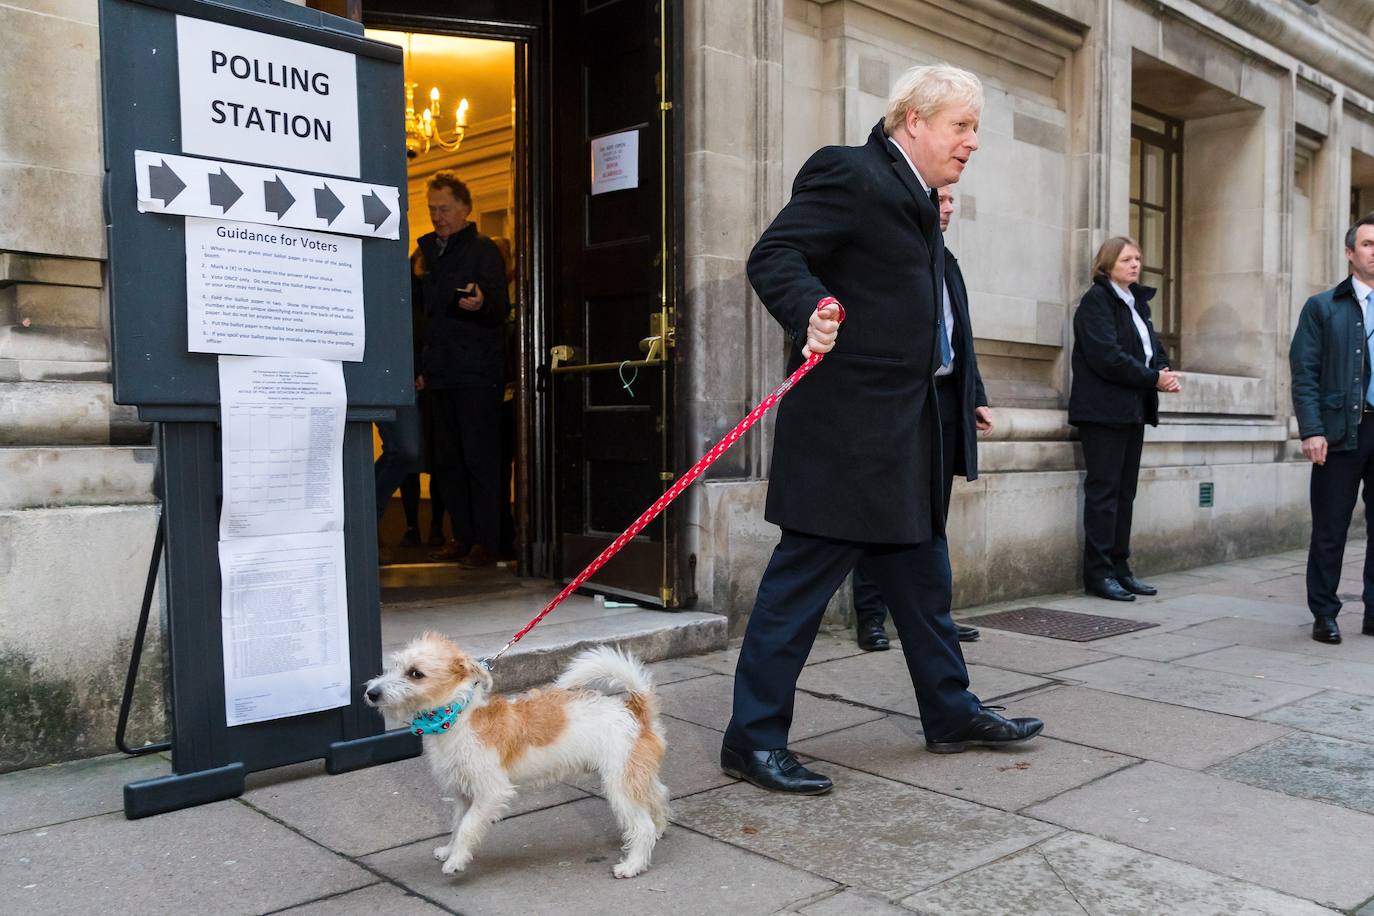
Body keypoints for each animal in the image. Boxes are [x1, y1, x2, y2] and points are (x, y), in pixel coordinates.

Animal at [362, 634, 667, 878]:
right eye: (395, 666)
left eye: (415, 673)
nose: (370, 693)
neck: (457, 718)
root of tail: (634, 709)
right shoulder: (463, 793)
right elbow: (456, 824)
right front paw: (450, 850)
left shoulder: (490, 792)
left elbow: (468, 826)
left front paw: (456, 861)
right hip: (635, 775)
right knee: (658, 796)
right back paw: (660, 828)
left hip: (620, 784)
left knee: (642, 825)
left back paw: (633, 864)